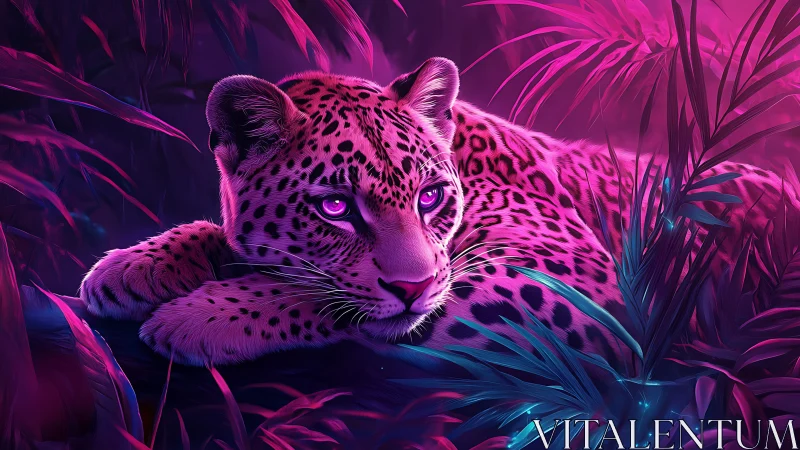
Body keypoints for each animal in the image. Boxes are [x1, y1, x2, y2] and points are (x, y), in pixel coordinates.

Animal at [79, 57, 800, 366]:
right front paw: (130, 267)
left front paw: (202, 316)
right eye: (335, 207)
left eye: (429, 197)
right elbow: (225, 236)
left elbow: (323, 294)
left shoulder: (576, 283)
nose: (414, 285)